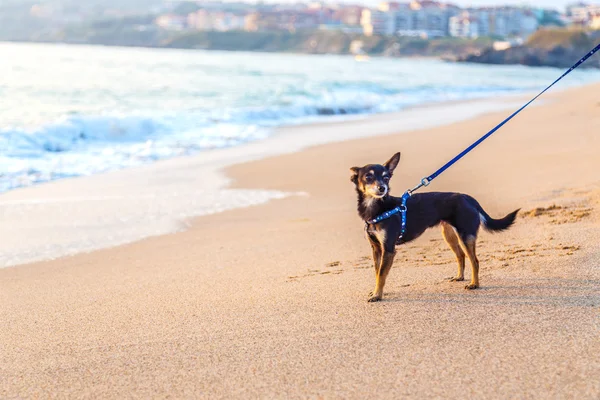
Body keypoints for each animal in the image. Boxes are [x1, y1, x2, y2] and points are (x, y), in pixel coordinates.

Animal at [352, 153, 520, 304]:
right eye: (368, 177)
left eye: (386, 178)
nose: (382, 188)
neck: (377, 208)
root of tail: (469, 198)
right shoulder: (376, 248)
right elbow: (378, 272)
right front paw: (377, 291)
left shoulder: (388, 249)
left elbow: (381, 274)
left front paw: (377, 295)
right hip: (449, 235)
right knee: (461, 256)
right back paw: (460, 277)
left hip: (465, 235)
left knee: (475, 261)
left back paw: (474, 284)